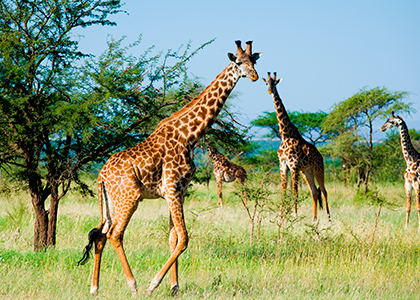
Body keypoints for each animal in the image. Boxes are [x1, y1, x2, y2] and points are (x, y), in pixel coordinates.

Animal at [78, 39, 260, 296]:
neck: (190, 135)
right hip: (130, 197)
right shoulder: (172, 188)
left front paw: (174, 287)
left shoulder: (179, 191)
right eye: (239, 63)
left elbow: (174, 238)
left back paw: (95, 288)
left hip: (111, 200)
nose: (254, 76)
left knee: (101, 235)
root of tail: (101, 176)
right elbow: (184, 238)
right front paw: (154, 285)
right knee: (115, 234)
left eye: (254, 61)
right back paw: (133, 285)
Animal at [262, 71, 332, 221]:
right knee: (314, 192)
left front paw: (294, 214)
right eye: (266, 83)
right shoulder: (283, 165)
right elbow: (283, 190)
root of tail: (321, 156)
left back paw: (329, 219)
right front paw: (281, 215)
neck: (285, 135)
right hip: (307, 172)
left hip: (318, 169)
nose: (270, 91)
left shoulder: (294, 165)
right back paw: (314, 219)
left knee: (323, 191)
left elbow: (294, 191)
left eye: (275, 83)